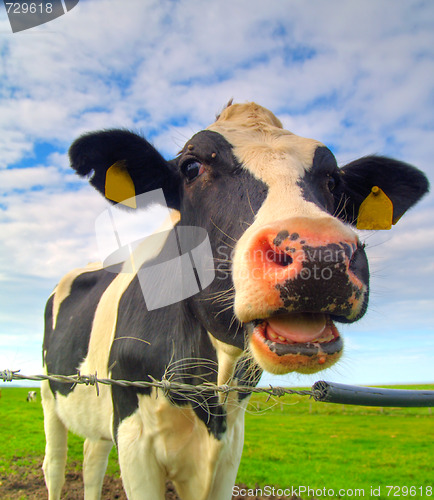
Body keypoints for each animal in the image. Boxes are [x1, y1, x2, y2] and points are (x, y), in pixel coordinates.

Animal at [39, 102, 428, 500]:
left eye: (333, 181)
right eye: (191, 166)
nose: (322, 254)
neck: (209, 387)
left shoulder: (229, 447)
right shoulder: (134, 437)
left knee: (92, 460)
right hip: (49, 395)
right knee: (54, 464)